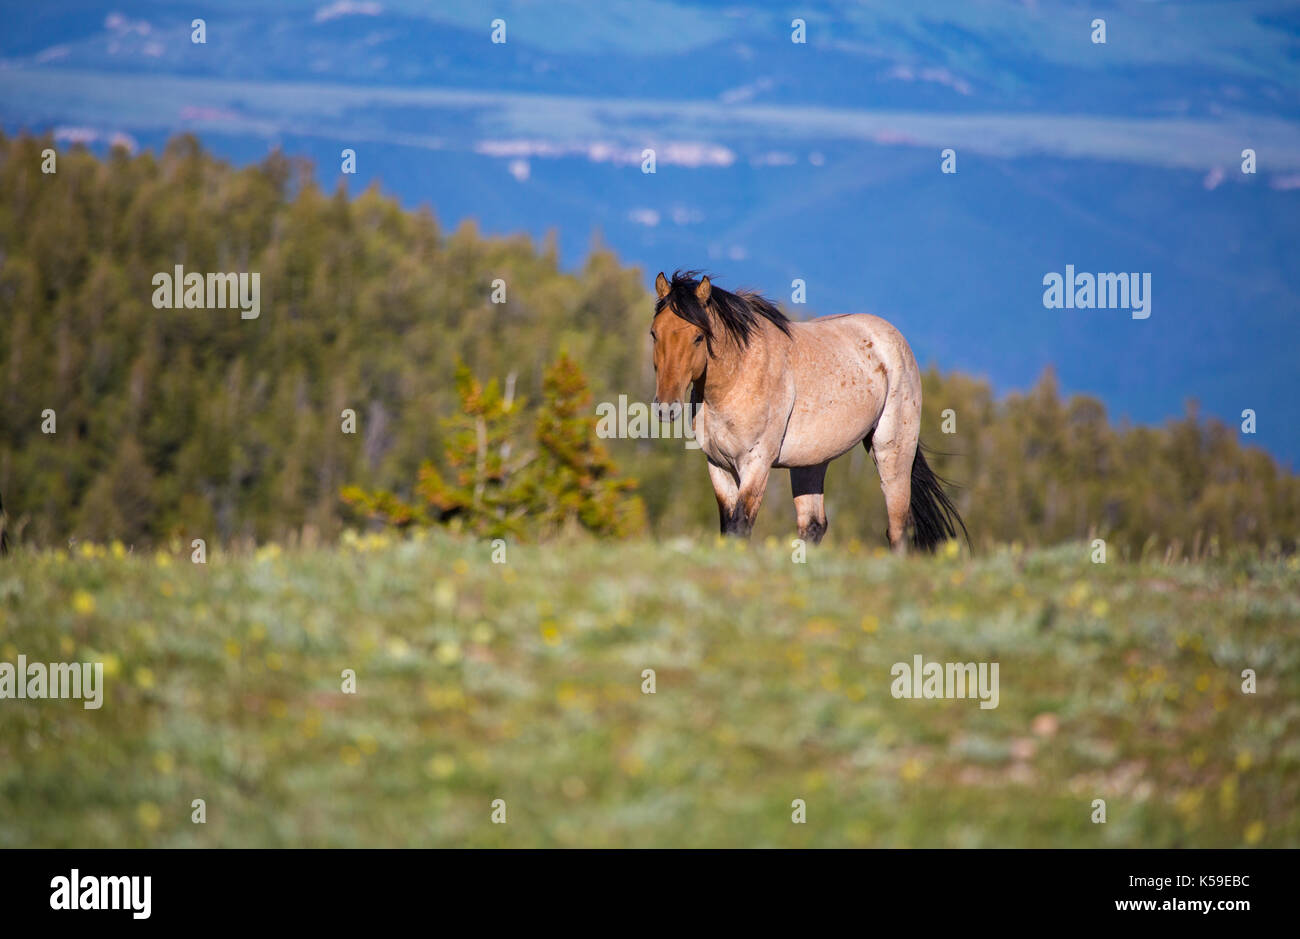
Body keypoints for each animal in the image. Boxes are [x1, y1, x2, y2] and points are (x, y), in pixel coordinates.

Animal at [649, 271, 966, 553]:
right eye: (654, 334)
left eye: (698, 337)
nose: (666, 407)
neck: (737, 376)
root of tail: (894, 340)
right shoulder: (718, 465)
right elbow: (728, 527)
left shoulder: (756, 463)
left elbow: (740, 524)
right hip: (811, 462)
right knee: (813, 525)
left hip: (892, 450)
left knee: (899, 526)